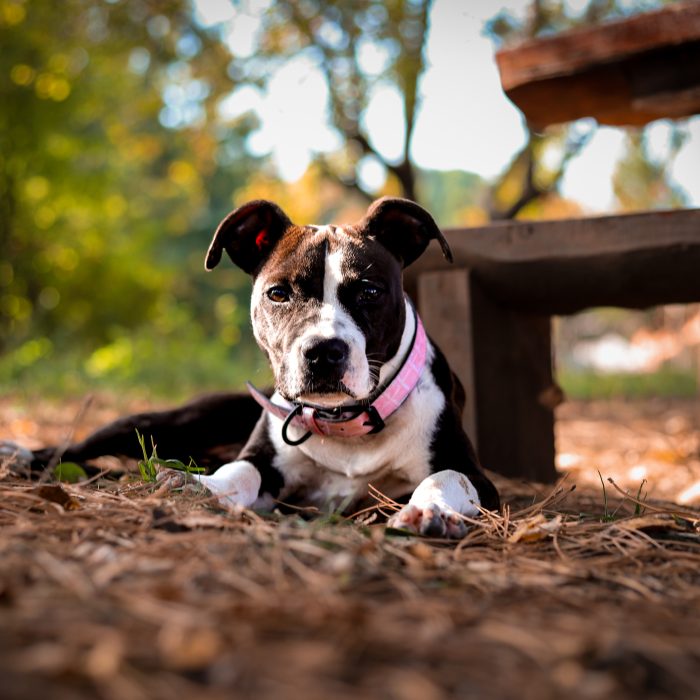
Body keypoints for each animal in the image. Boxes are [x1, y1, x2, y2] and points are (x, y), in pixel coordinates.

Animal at [2, 200, 500, 540]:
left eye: (370, 291)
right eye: (278, 293)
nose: (323, 352)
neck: (344, 426)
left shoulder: (474, 475)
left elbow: (446, 477)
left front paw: (431, 509)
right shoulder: (263, 461)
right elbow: (239, 471)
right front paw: (201, 486)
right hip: (155, 422)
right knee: (71, 448)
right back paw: (20, 456)